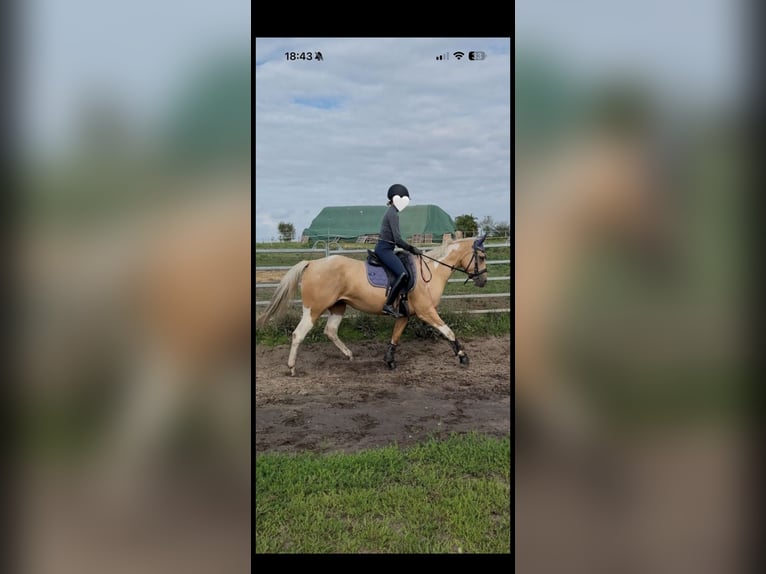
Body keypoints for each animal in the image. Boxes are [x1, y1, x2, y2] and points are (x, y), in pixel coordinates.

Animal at [256, 235, 489, 375]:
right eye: (482, 256)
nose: (483, 281)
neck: (430, 271)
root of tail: (312, 263)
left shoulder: (404, 314)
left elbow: (395, 337)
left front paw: (389, 361)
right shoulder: (427, 311)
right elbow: (448, 331)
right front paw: (463, 357)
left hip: (338, 307)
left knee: (330, 331)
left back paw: (349, 355)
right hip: (313, 309)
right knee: (299, 334)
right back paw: (292, 368)